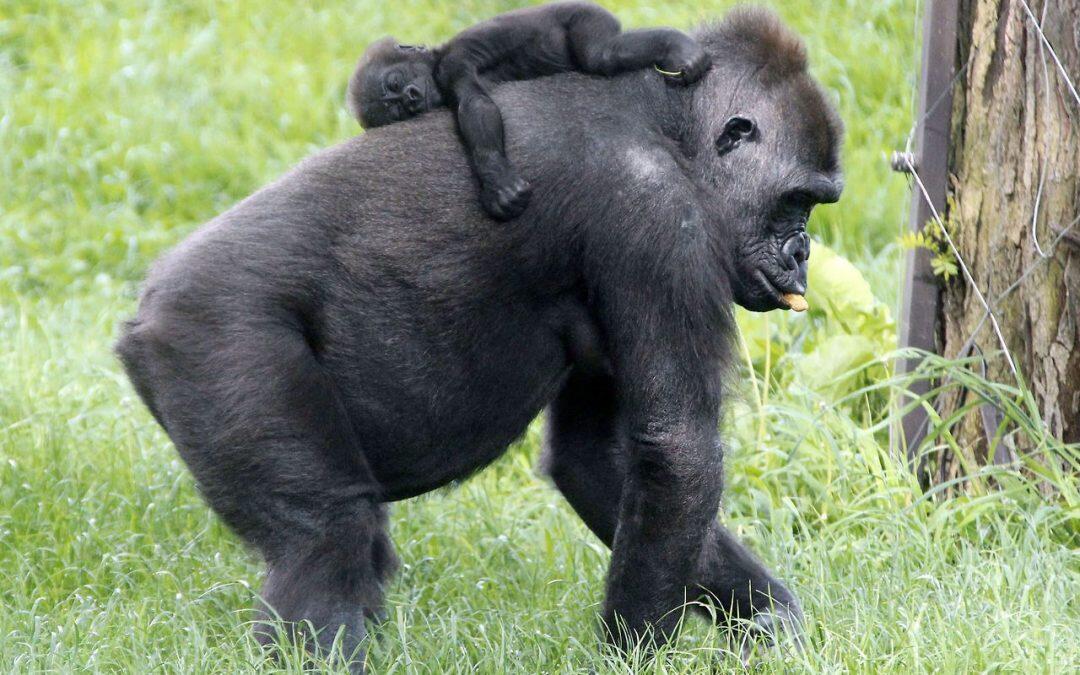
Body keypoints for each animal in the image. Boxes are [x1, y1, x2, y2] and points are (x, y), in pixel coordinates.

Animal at [349, 1, 712, 220]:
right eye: (395, 109)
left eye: (395, 82)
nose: (411, 97)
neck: (435, 59)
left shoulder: (453, 62)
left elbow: (476, 107)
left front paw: (497, 180)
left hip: (586, 14)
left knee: (603, 53)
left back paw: (676, 46)